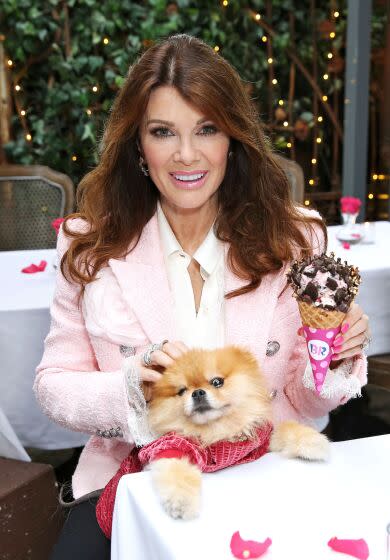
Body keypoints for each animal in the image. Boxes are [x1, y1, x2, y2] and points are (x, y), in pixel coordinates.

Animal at [146, 346, 330, 520]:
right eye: (182, 391)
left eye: (217, 382)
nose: (197, 392)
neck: (219, 430)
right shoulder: (173, 447)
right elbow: (177, 472)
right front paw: (182, 501)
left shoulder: (261, 440)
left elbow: (286, 428)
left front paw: (313, 442)